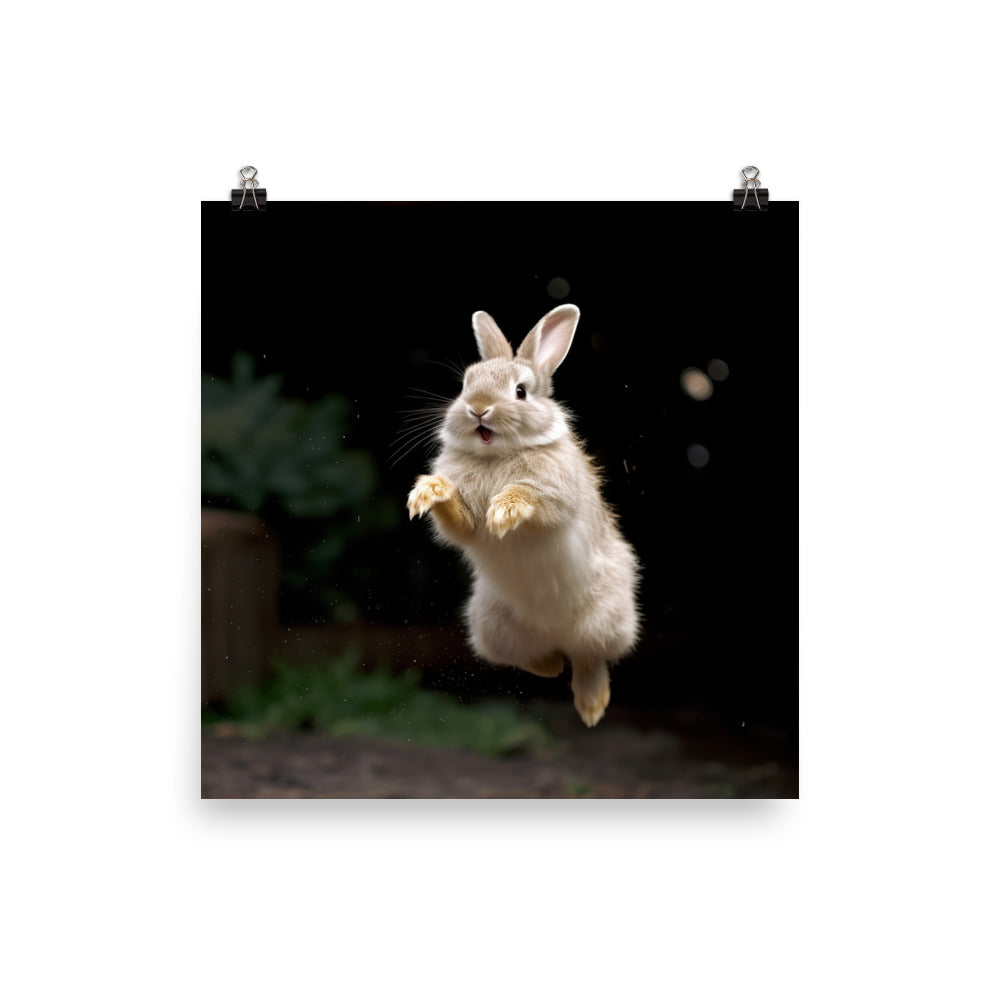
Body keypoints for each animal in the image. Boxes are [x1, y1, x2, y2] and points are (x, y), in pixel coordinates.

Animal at [406, 303, 640, 727]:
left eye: (520, 392)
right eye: (465, 385)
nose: (478, 408)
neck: (497, 455)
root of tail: (554, 632)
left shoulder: (558, 497)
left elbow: (536, 500)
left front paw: (505, 509)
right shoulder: (465, 525)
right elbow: (460, 523)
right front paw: (429, 491)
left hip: (607, 620)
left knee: (589, 658)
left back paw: (592, 706)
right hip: (490, 626)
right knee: (538, 660)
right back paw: (552, 665)